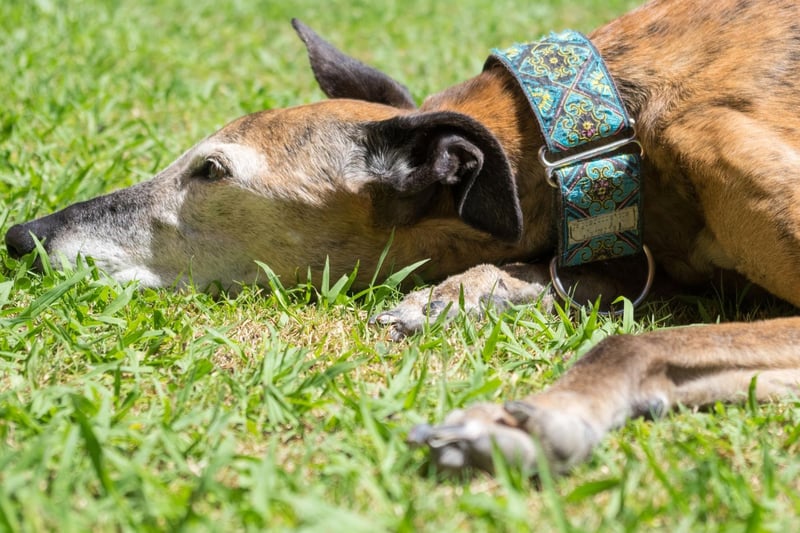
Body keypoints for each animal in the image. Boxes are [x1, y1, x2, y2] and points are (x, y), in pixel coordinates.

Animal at [4, 0, 800, 474]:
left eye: (211, 169)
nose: (22, 235)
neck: (601, 138)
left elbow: (630, 341)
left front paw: (534, 416)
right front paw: (465, 294)